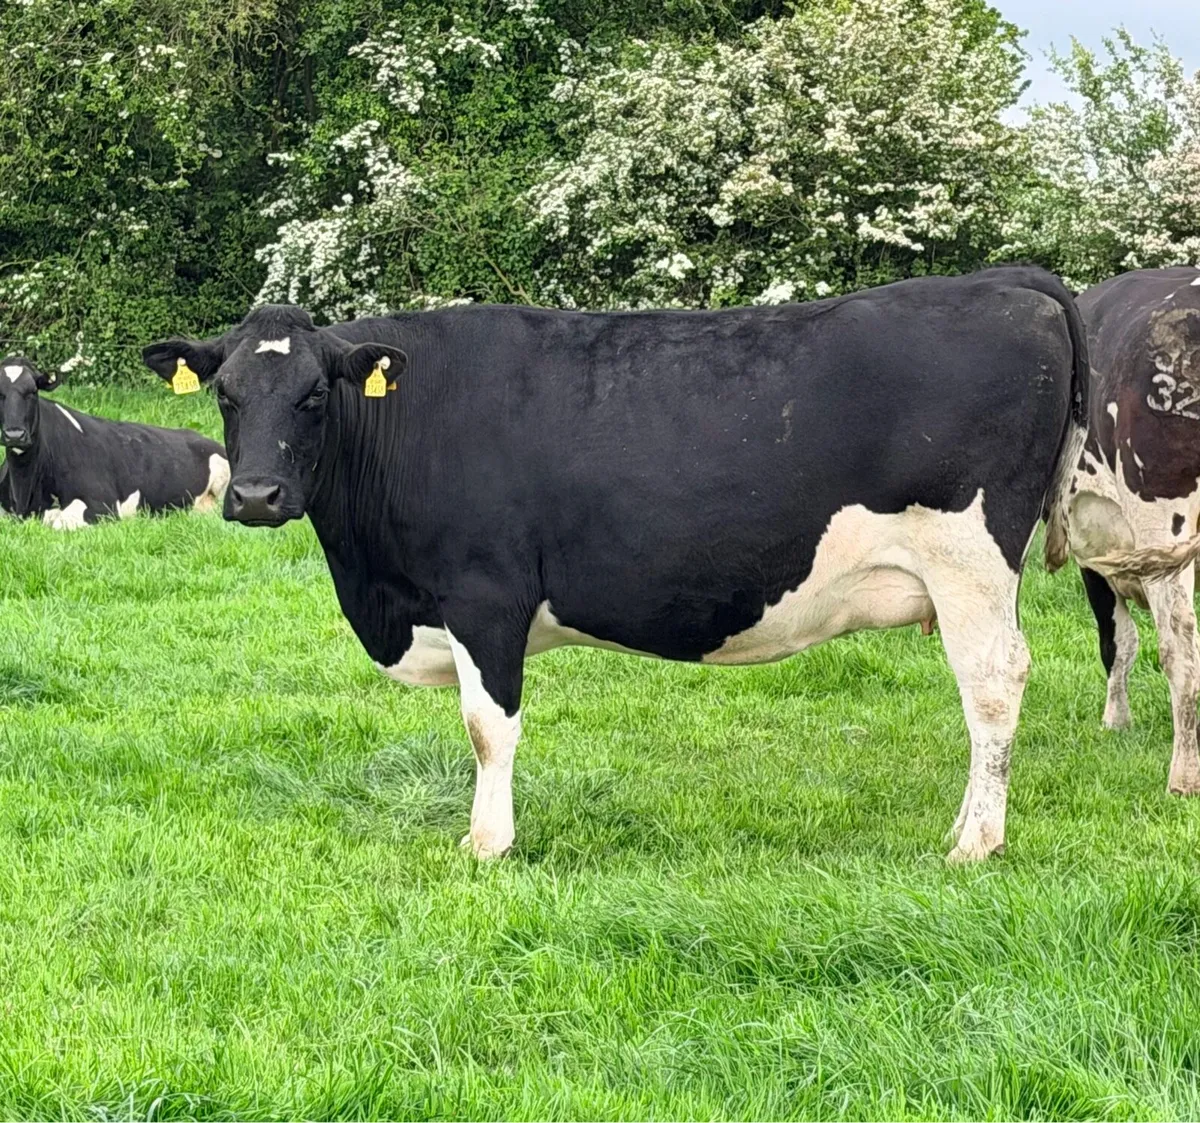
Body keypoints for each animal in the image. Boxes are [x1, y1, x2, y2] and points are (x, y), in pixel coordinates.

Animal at [144, 267, 1137, 863]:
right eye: (226, 393)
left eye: (315, 394)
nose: (258, 495)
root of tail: (1009, 280)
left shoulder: (485, 592)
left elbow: (487, 726)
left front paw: (487, 844)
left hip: (971, 559)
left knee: (995, 683)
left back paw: (975, 841)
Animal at [1046, 266, 1200, 796]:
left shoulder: (1092, 557)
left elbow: (1116, 640)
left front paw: (1115, 721)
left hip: (1165, 526)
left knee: (1180, 652)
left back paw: (1184, 776)